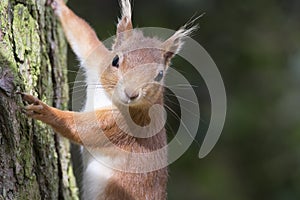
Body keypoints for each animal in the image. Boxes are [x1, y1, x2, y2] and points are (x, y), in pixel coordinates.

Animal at [19, 0, 197, 199]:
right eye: (115, 60)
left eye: (159, 75)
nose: (131, 93)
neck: (109, 96)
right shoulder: (97, 61)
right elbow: (84, 36)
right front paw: (59, 7)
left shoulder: (126, 124)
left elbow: (83, 129)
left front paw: (44, 110)